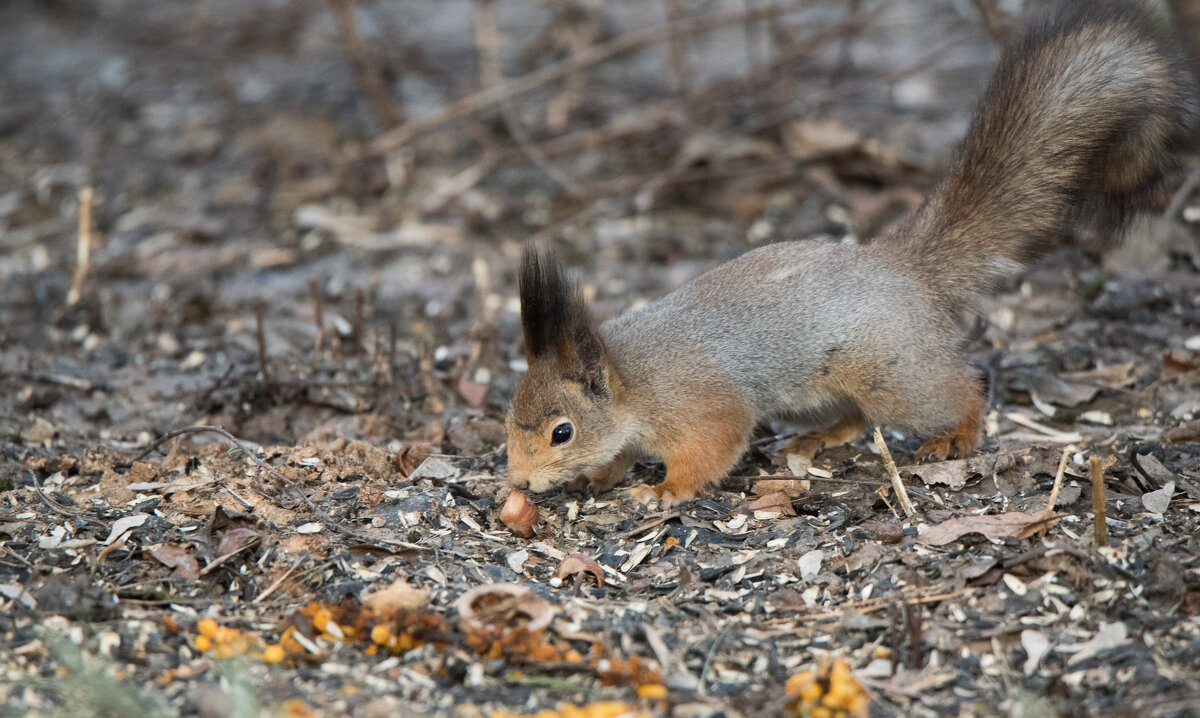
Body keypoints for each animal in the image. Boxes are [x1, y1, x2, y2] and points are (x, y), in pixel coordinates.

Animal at [501, 1, 1195, 506]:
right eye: (509, 416)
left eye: (561, 431)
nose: (517, 483)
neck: (632, 379)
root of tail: (904, 268)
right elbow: (619, 454)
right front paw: (599, 476)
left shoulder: (702, 404)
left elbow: (714, 446)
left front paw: (665, 490)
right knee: (858, 420)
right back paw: (821, 436)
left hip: (893, 375)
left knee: (957, 392)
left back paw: (955, 436)